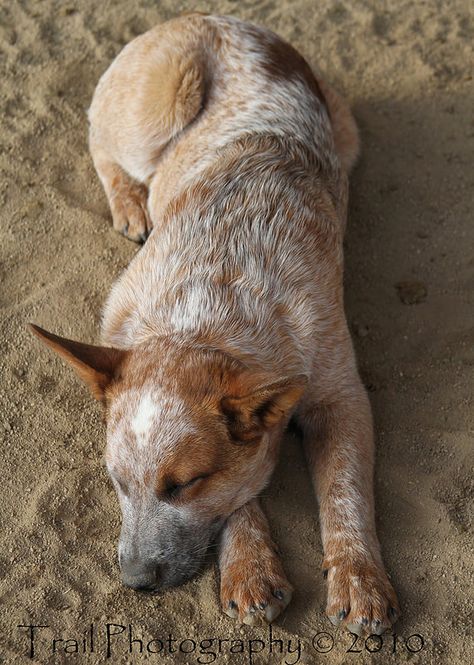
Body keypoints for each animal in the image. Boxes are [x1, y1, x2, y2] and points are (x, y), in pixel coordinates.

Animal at [30, 11, 400, 632]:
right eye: (116, 482)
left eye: (184, 484)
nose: (135, 581)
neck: (207, 312)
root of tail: (214, 16)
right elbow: (242, 493)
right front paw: (250, 568)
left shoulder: (342, 394)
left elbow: (345, 489)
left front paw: (360, 579)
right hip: (158, 106)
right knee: (99, 135)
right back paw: (131, 203)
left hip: (345, 125)